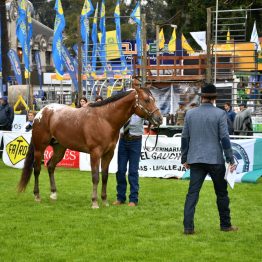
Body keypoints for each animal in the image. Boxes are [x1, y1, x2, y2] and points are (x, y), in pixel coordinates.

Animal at [17, 86, 162, 209]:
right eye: (147, 100)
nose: (159, 119)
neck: (105, 119)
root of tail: (40, 113)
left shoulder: (109, 154)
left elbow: (105, 176)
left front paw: (104, 200)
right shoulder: (95, 153)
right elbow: (95, 177)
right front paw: (94, 202)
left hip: (59, 148)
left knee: (51, 166)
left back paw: (53, 194)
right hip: (39, 148)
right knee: (37, 169)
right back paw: (37, 195)